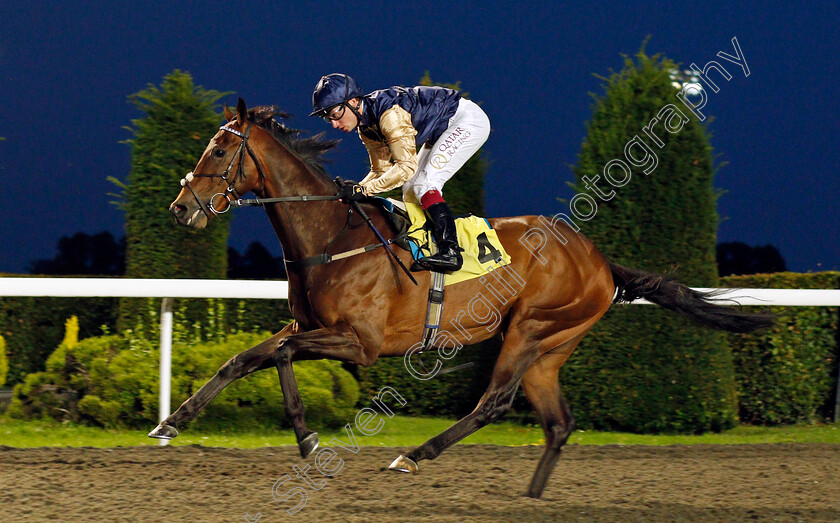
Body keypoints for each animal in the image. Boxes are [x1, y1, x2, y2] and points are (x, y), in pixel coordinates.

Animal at [156, 99, 776, 500]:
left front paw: (308, 439)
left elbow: (280, 357)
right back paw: (531, 497)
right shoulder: (305, 326)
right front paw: (172, 423)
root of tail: (600, 260)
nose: (180, 209)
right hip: (552, 347)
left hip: (530, 328)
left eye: (219, 150)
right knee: (558, 421)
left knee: (494, 402)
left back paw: (412, 456)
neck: (331, 237)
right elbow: (244, 359)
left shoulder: (359, 344)